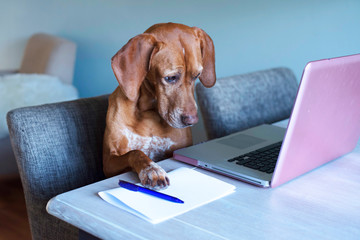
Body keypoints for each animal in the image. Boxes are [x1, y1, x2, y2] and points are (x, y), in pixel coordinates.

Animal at [102, 23, 215, 190]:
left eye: (196, 75)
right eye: (170, 78)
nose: (192, 120)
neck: (148, 113)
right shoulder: (109, 162)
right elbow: (135, 152)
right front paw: (152, 169)